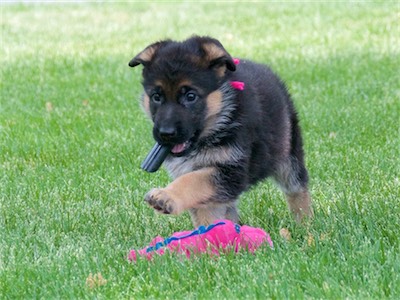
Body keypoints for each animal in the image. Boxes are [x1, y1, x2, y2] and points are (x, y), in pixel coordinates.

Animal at [130, 35, 314, 227]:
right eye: (156, 97)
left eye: (190, 96)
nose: (166, 134)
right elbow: (204, 209)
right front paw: (209, 234)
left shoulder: (230, 171)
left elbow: (194, 180)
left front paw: (167, 195)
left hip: (288, 152)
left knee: (297, 187)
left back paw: (305, 224)